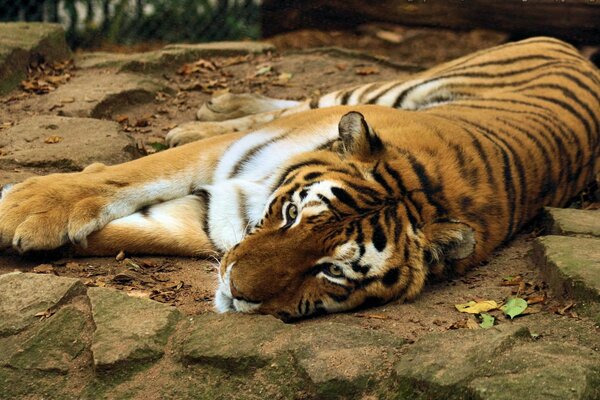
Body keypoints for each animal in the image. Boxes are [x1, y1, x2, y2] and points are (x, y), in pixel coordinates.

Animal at [0, 36, 596, 320]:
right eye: (290, 214)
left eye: (330, 270)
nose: (234, 291)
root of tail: (572, 48)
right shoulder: (225, 162)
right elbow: (131, 175)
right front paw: (24, 206)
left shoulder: (213, 219)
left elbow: (133, 231)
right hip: (374, 91)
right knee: (305, 98)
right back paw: (204, 113)